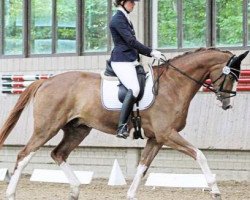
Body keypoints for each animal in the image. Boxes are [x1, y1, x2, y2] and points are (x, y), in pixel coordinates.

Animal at [0, 47, 248, 199]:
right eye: (231, 75)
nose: (227, 103)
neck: (174, 84)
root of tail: (45, 82)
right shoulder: (167, 134)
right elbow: (200, 154)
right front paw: (215, 189)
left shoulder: (156, 139)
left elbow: (142, 167)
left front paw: (130, 194)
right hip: (47, 127)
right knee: (24, 155)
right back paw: (11, 193)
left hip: (78, 129)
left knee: (58, 154)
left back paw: (76, 190)